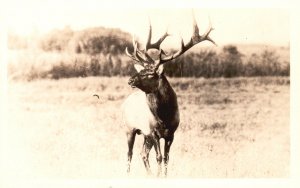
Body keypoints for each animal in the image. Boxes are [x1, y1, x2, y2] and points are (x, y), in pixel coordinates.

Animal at [122, 12, 216, 177]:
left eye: (149, 73)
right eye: (141, 70)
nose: (130, 80)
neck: (164, 117)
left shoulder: (171, 133)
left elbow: (166, 158)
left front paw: (163, 176)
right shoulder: (153, 132)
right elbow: (159, 157)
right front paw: (159, 176)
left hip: (145, 135)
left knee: (143, 154)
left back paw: (149, 175)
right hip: (129, 128)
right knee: (130, 153)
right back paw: (128, 174)